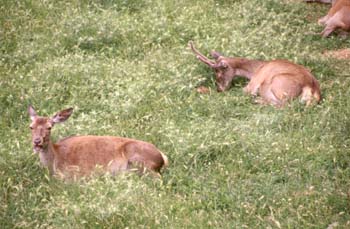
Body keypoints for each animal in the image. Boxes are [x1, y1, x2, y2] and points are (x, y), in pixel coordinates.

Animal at [189, 41, 320, 107]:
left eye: (220, 73)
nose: (219, 89)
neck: (256, 69)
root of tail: (312, 89)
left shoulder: (253, 83)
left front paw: (200, 89)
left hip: (272, 83)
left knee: (282, 104)